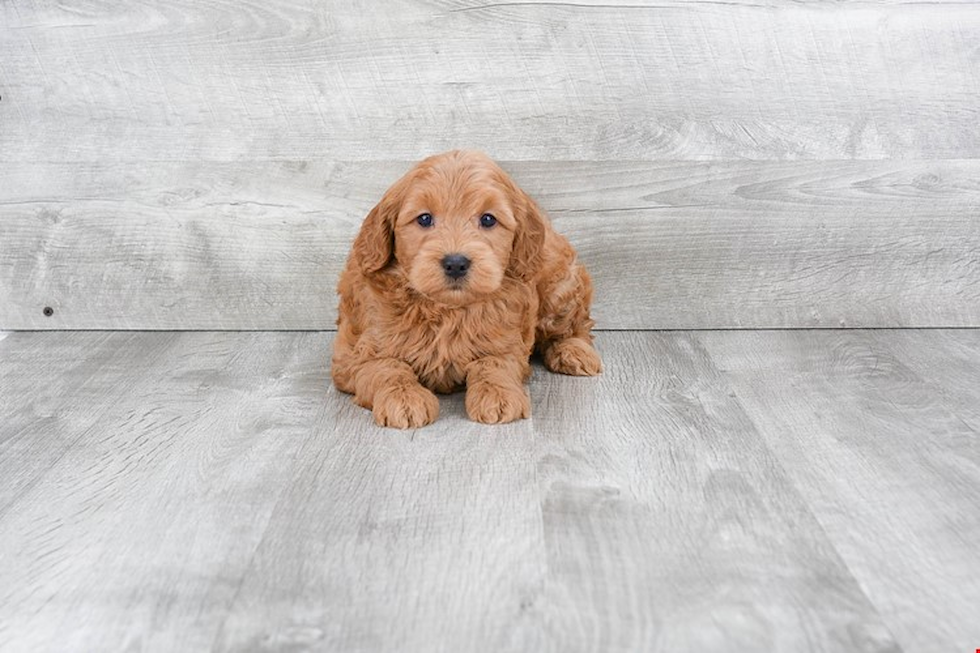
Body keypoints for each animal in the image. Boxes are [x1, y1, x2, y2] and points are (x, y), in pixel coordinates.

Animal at [334, 149, 600, 428]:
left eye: (488, 219)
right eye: (424, 219)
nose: (455, 263)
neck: (446, 309)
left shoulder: (506, 341)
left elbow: (494, 364)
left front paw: (497, 395)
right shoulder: (355, 352)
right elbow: (384, 366)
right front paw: (404, 398)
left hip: (559, 285)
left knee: (575, 326)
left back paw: (573, 351)